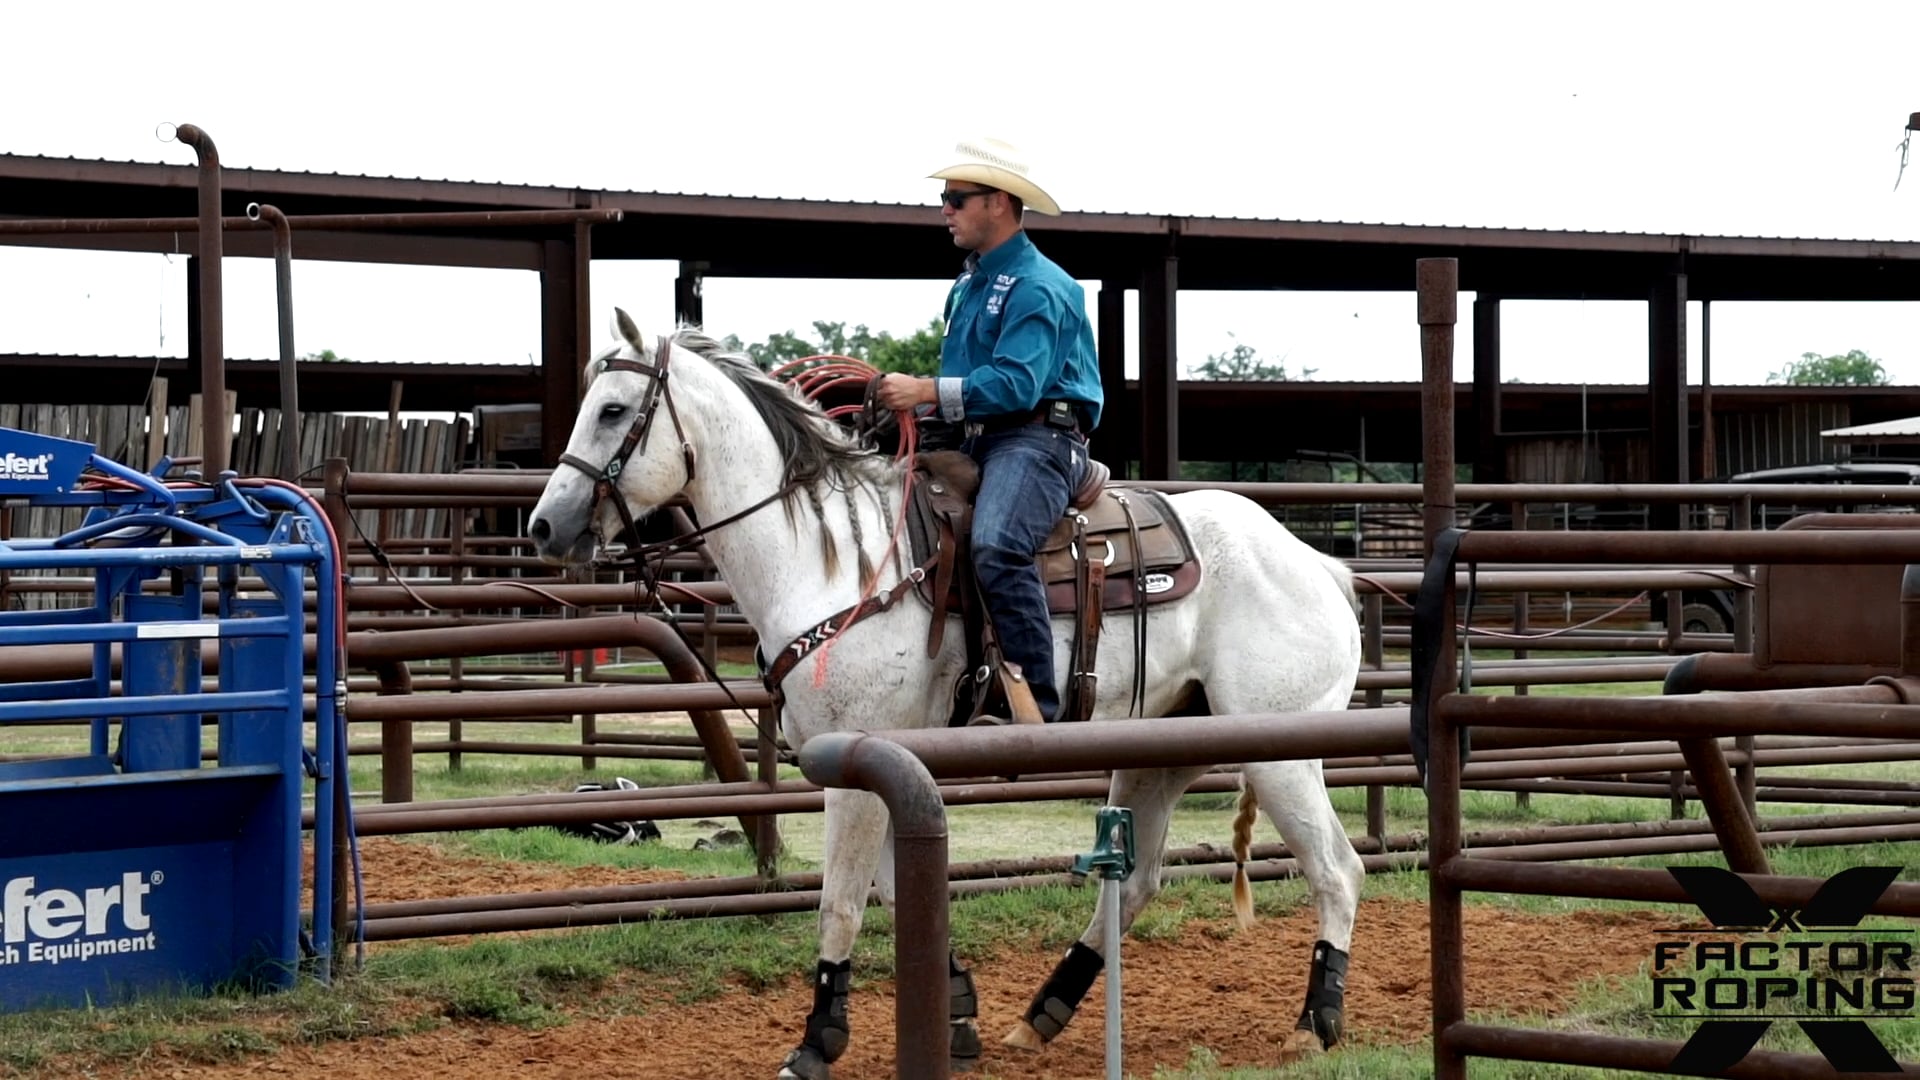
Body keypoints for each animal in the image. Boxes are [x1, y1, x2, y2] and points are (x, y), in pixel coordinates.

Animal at [526, 307, 1367, 1068]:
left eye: (612, 410)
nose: (543, 527)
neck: (839, 565)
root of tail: (1315, 563)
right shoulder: (880, 767)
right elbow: (898, 893)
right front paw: (955, 1011)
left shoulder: (857, 772)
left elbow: (840, 903)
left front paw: (816, 1042)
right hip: (1162, 753)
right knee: (1133, 887)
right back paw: (1041, 1015)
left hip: (1281, 755)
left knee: (1338, 870)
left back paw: (1314, 1022)